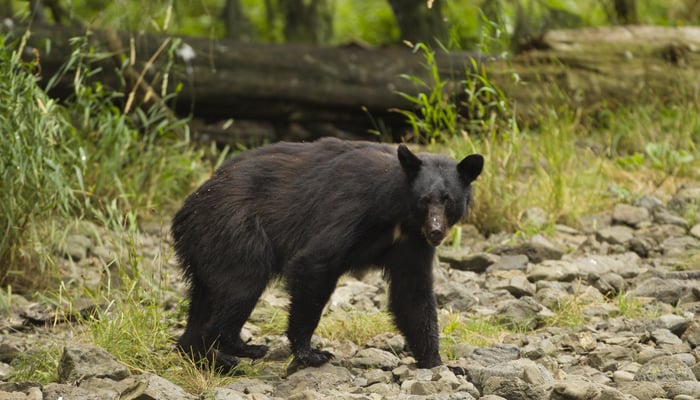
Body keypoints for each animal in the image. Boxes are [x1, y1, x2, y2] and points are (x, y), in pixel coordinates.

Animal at [171, 137, 484, 372]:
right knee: (242, 284)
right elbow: (314, 263)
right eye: (424, 200)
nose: (436, 232)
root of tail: (186, 208)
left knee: (206, 297)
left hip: (208, 247)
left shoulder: (412, 242)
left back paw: (202, 355)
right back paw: (240, 348)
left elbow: (413, 295)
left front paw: (439, 363)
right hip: (235, 230)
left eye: (448, 201)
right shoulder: (352, 207)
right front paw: (311, 353)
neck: (399, 214)